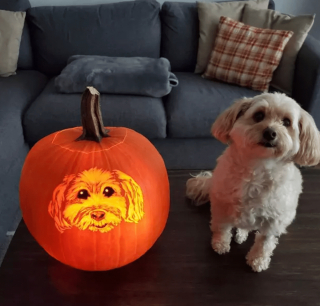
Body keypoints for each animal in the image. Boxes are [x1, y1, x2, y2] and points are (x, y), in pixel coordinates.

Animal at [185, 92, 320, 272]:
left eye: (286, 122)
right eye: (259, 116)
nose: (270, 132)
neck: (258, 166)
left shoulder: (274, 221)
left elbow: (265, 243)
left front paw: (258, 260)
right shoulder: (221, 206)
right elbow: (222, 227)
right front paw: (220, 244)